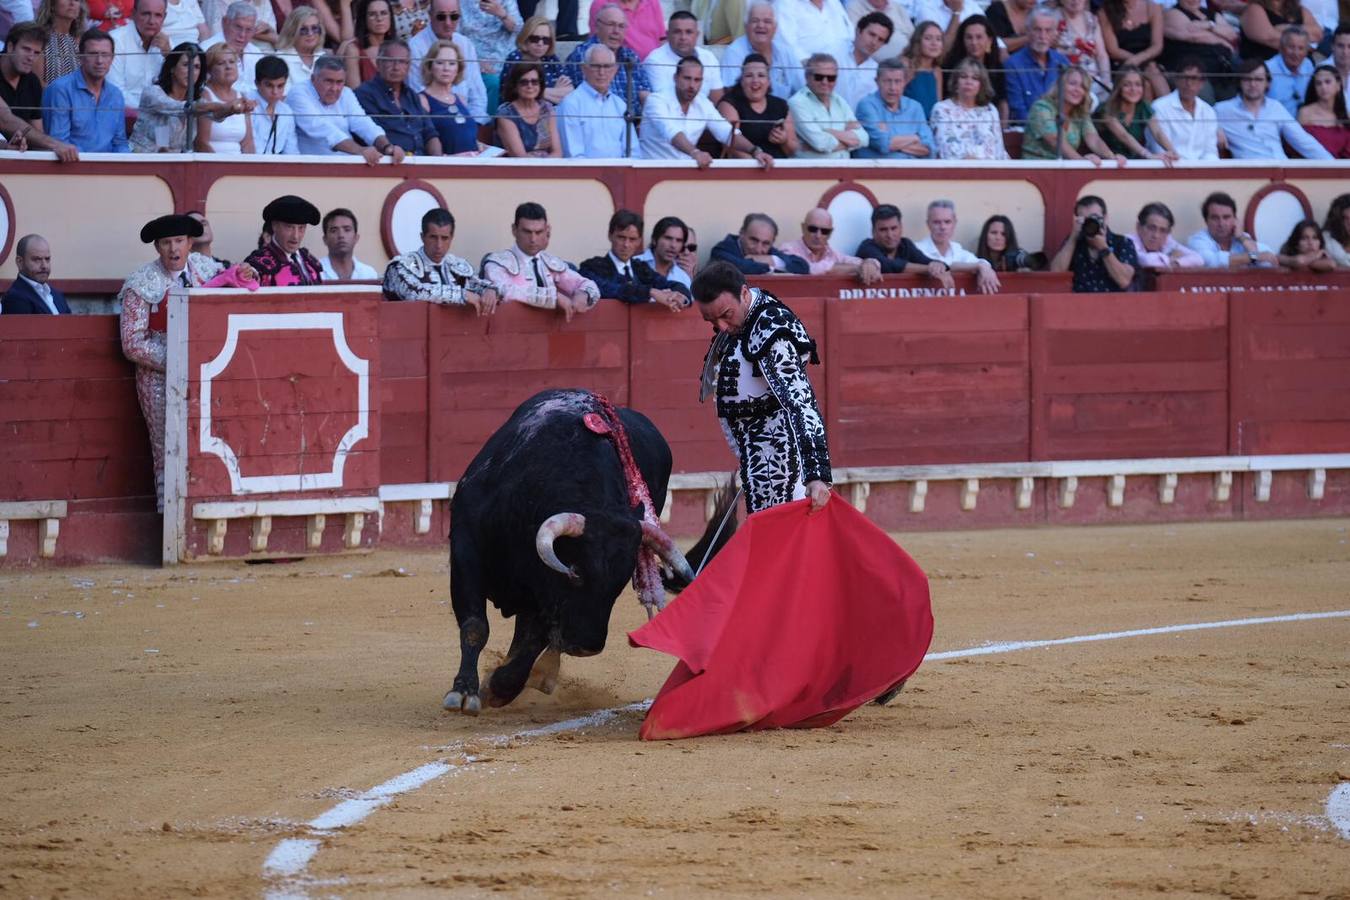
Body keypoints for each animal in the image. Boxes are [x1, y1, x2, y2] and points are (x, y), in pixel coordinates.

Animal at [442, 391, 723, 712]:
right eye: (575, 573)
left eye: (621, 582)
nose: (587, 646)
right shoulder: (467, 550)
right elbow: (475, 626)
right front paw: (464, 693)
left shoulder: (546, 594)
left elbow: (532, 641)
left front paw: (497, 688)